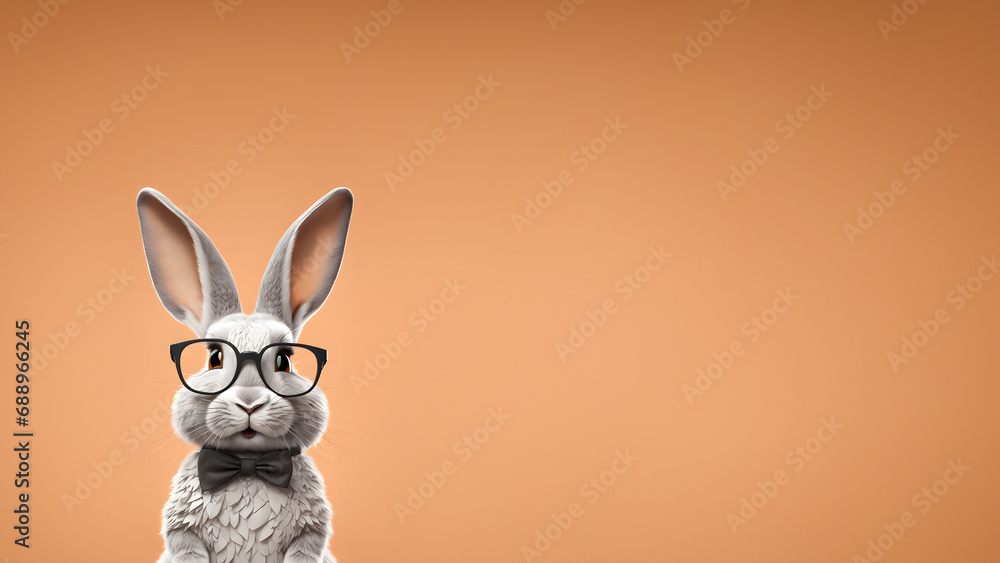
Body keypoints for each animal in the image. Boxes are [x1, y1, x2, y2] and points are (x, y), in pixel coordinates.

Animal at [136, 187, 353, 563]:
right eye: (214, 357)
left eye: (284, 360)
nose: (249, 404)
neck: (248, 465)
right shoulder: (183, 533)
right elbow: (187, 550)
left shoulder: (310, 536)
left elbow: (304, 550)